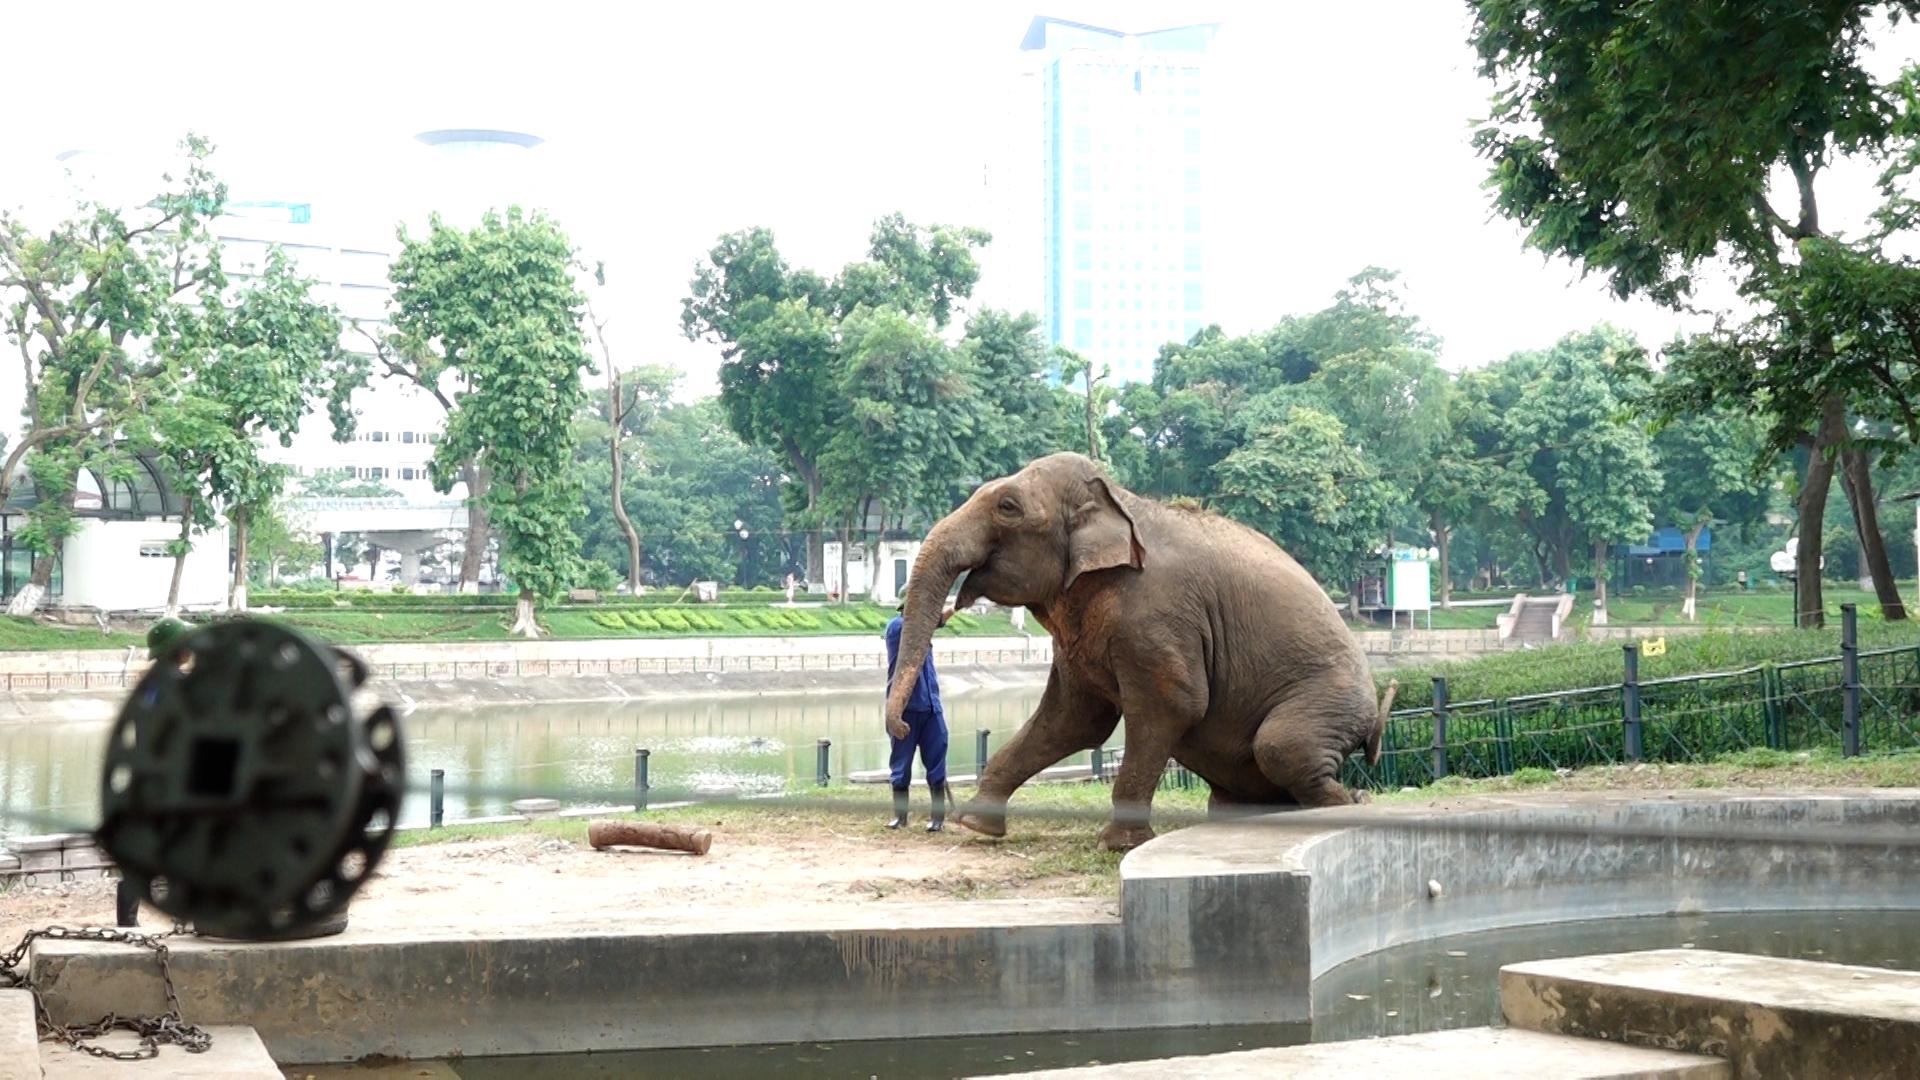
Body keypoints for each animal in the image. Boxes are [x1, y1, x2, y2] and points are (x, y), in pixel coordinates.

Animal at [883, 447, 1397, 849]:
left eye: (1007, 506)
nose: (905, 725)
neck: (1121, 500)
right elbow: (1072, 719)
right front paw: (976, 826)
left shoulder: (1159, 615)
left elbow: (1173, 704)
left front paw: (1117, 844)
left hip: (1331, 702)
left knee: (1282, 747)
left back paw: (1354, 802)